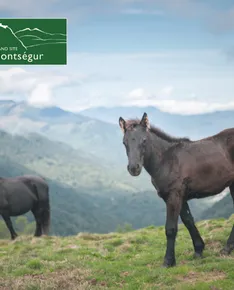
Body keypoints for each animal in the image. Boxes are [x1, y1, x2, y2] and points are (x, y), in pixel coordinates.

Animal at [119, 111, 234, 268]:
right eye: (124, 142)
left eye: (144, 140)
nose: (134, 168)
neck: (167, 159)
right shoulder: (181, 197)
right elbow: (188, 221)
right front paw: (198, 250)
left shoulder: (174, 196)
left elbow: (171, 229)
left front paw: (168, 261)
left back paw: (227, 248)